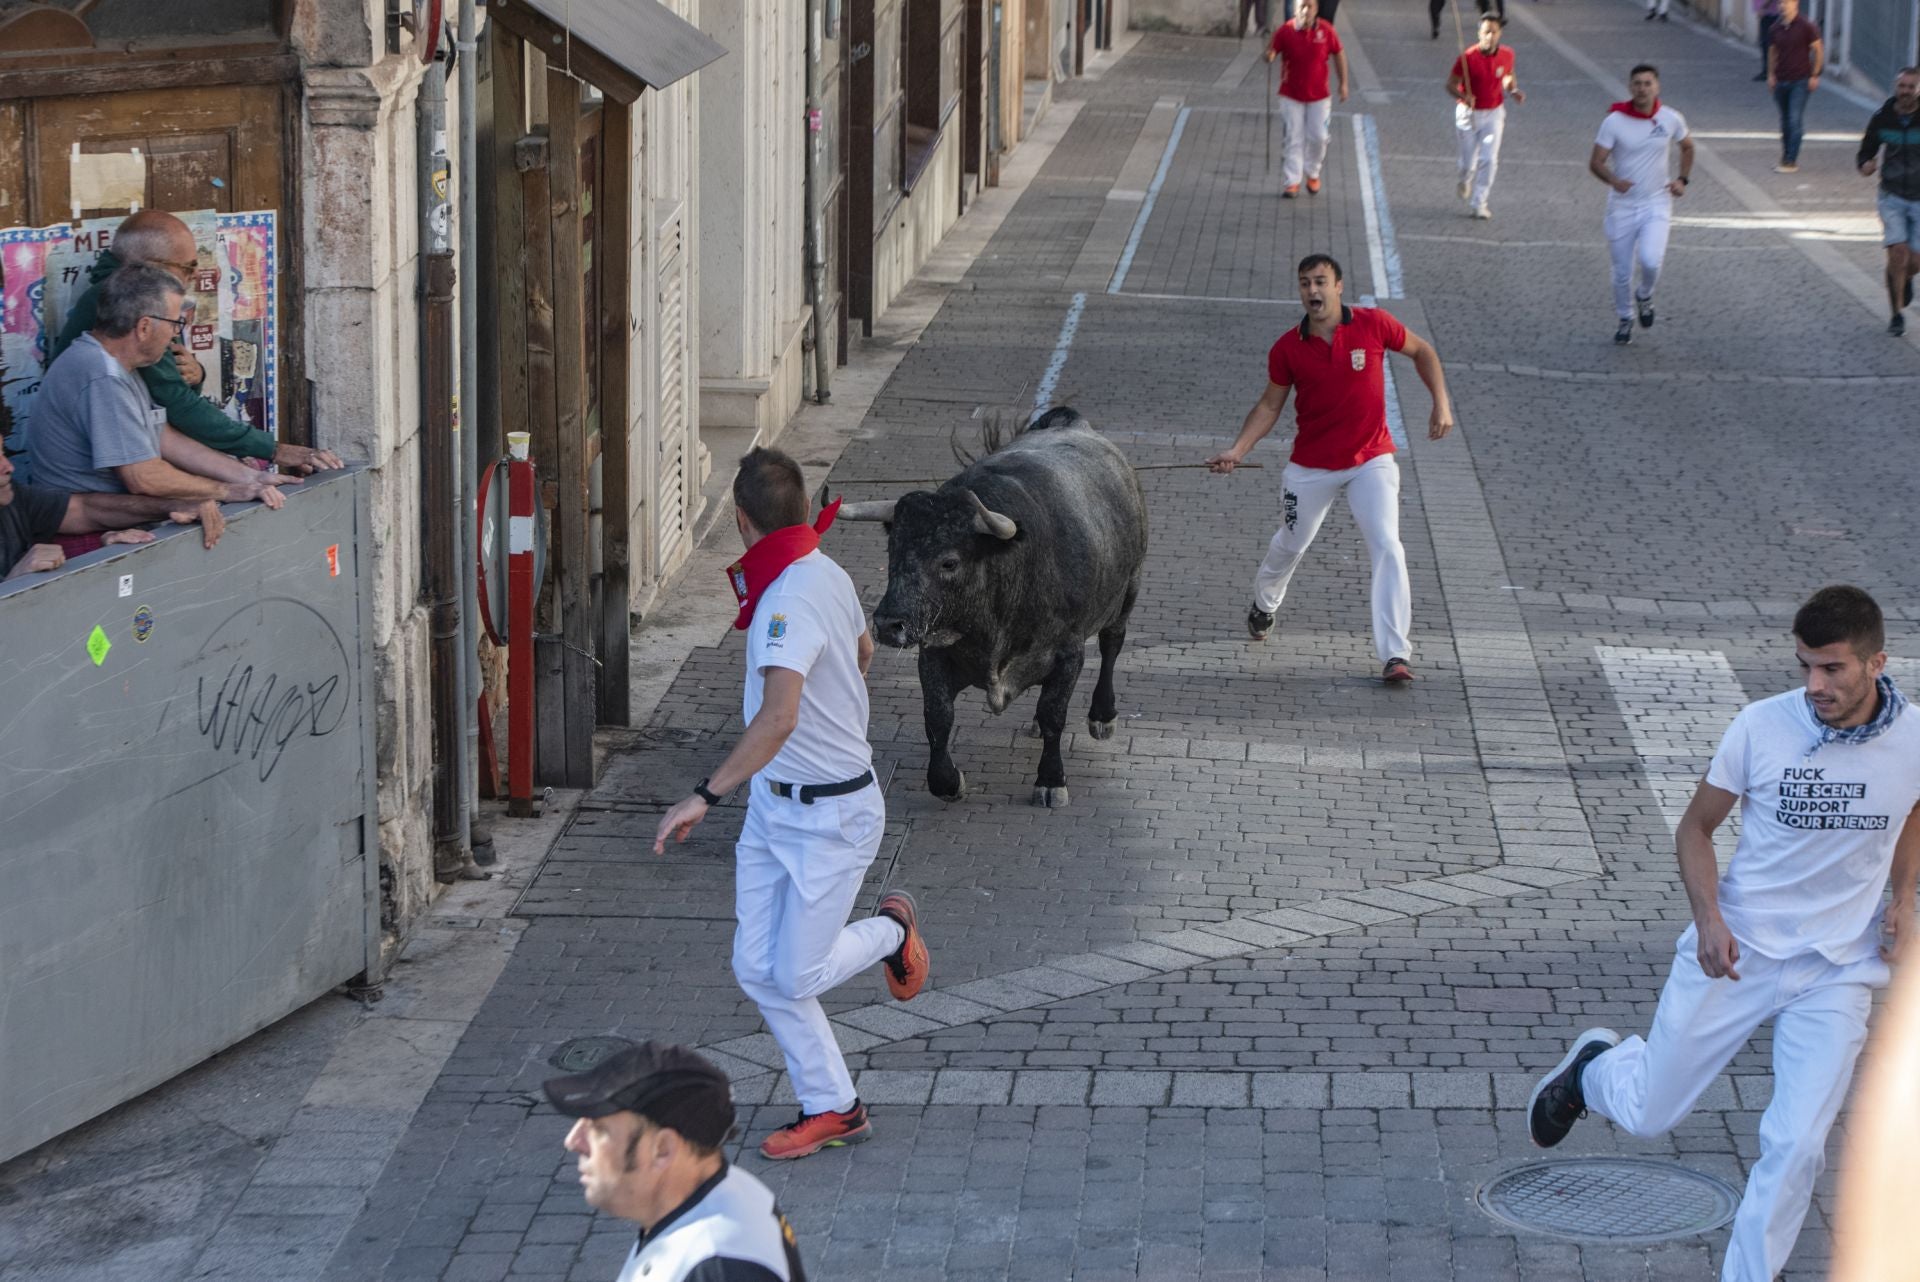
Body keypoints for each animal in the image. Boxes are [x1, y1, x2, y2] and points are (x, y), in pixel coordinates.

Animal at [829, 404, 1152, 806]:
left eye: (949, 562)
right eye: (893, 551)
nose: (889, 623)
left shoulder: (1069, 653)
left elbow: (1054, 714)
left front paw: (1051, 780)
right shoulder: (933, 655)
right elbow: (937, 717)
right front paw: (947, 781)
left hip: (1129, 588)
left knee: (1112, 645)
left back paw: (1103, 715)